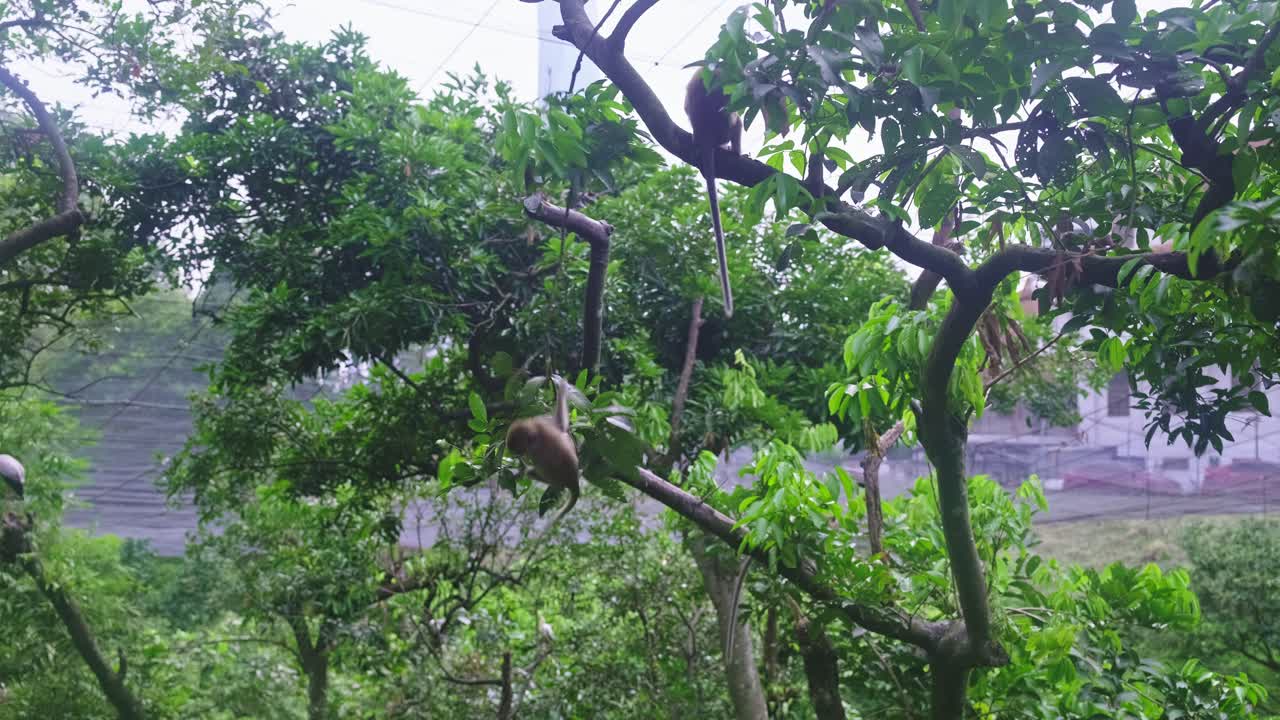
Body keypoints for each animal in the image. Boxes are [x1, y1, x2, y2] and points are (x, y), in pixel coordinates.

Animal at [505, 375, 580, 528]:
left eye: (520, 450)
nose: (518, 455)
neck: (535, 433)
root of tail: (573, 482)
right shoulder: (541, 421)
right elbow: (561, 424)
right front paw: (562, 384)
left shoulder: (534, 450)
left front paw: (522, 466)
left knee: (536, 473)